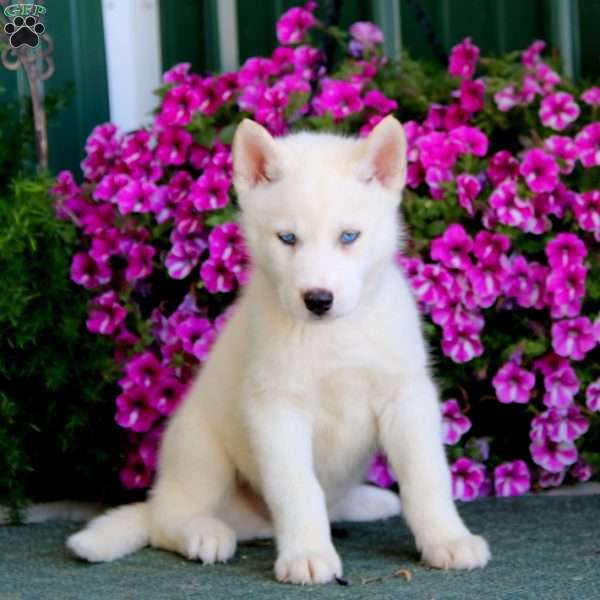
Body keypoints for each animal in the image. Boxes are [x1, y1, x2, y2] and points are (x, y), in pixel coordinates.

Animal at [69, 115, 492, 584]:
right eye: (287, 238)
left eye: (349, 236)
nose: (318, 299)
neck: (335, 335)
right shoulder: (276, 411)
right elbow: (297, 488)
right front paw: (307, 554)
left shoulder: (406, 398)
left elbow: (426, 478)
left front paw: (447, 539)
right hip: (199, 450)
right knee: (168, 518)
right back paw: (203, 533)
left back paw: (366, 502)